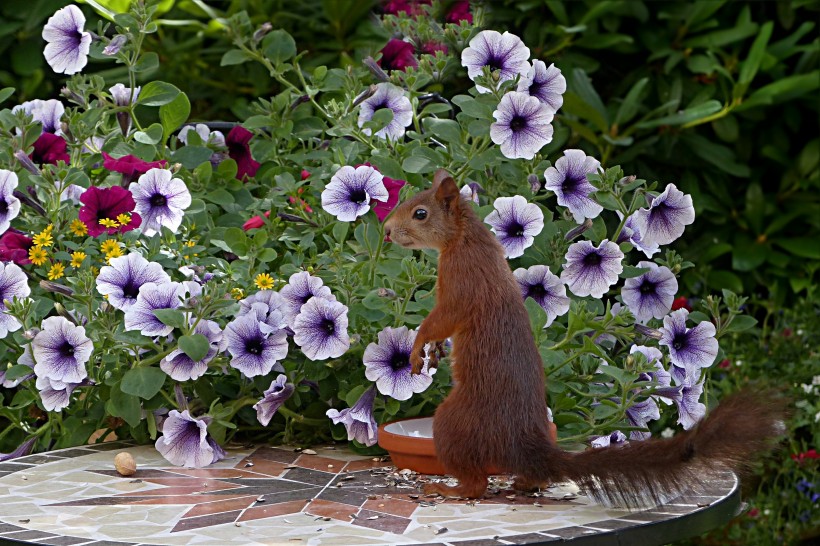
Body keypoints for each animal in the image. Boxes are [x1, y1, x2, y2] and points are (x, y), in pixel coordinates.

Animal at [382, 168, 784, 504]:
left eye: (420, 214)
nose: (386, 229)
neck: (464, 239)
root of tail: (526, 445)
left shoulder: (463, 283)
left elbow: (441, 319)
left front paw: (419, 346)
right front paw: (432, 350)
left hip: (454, 423)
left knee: (477, 484)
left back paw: (450, 488)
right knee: (531, 477)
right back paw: (523, 482)